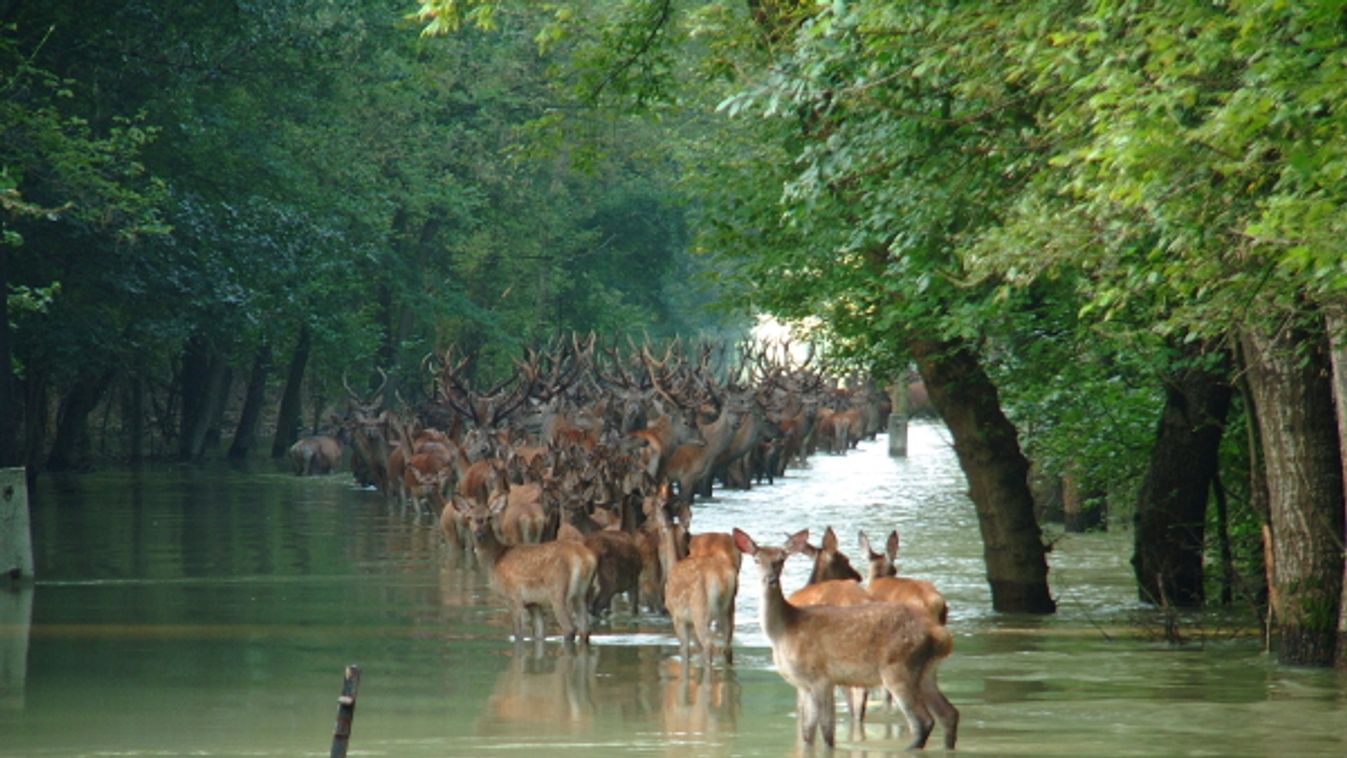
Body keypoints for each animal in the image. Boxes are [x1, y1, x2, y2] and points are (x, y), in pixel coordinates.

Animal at [455, 498, 598, 646]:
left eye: (489, 517)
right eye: (469, 517)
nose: (479, 534)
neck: (495, 560)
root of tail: (585, 558)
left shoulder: (514, 596)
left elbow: (518, 634)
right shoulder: (533, 603)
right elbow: (539, 635)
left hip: (559, 591)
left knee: (570, 627)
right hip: (582, 594)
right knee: (585, 630)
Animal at [738, 530, 959, 748]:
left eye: (781, 559)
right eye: (756, 560)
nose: (771, 579)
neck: (783, 630)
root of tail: (940, 634)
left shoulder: (820, 678)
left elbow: (826, 733)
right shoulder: (806, 684)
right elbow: (809, 734)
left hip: (898, 669)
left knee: (922, 721)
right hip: (926, 672)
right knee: (949, 714)